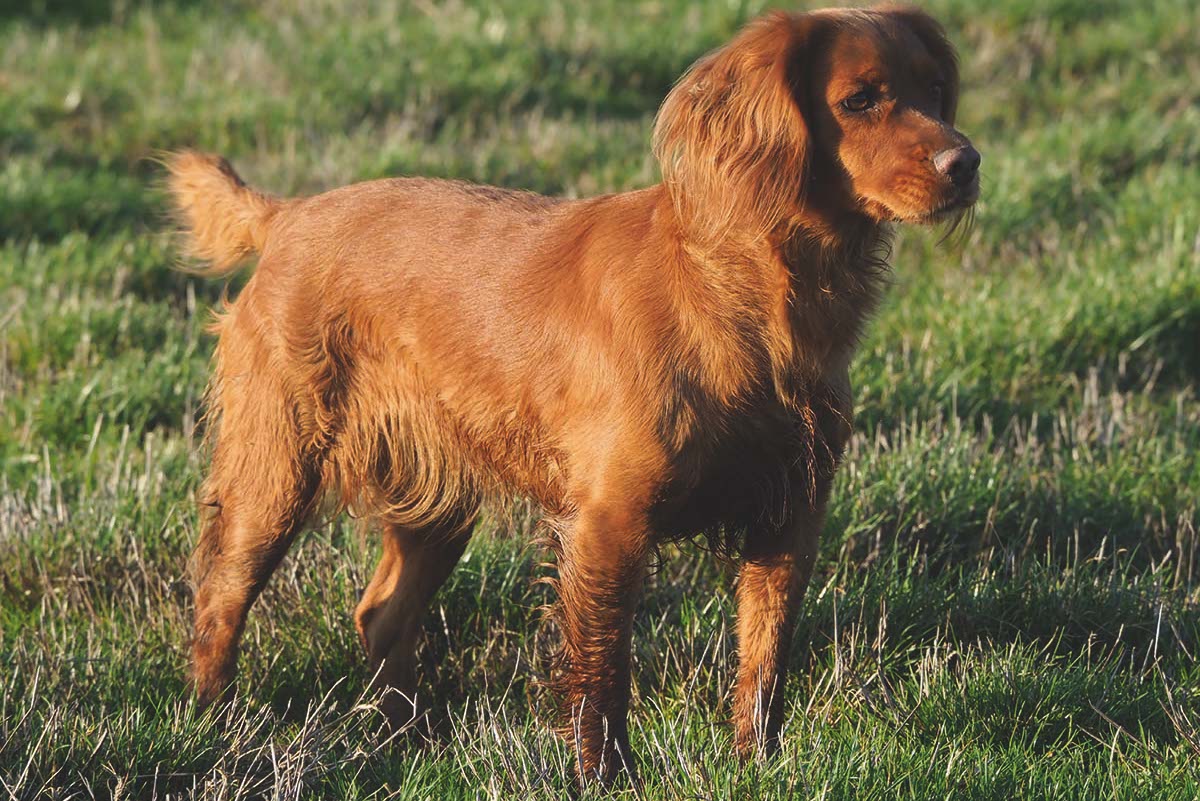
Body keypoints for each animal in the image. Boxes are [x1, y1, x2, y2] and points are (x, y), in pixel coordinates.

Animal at [166, 4, 974, 781]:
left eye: (936, 89)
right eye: (860, 99)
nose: (966, 162)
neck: (744, 291)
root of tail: (288, 215)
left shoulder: (789, 516)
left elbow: (763, 661)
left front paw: (757, 762)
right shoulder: (610, 523)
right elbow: (602, 675)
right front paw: (605, 774)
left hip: (439, 498)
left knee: (382, 614)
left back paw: (402, 737)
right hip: (275, 474)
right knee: (220, 600)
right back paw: (216, 726)